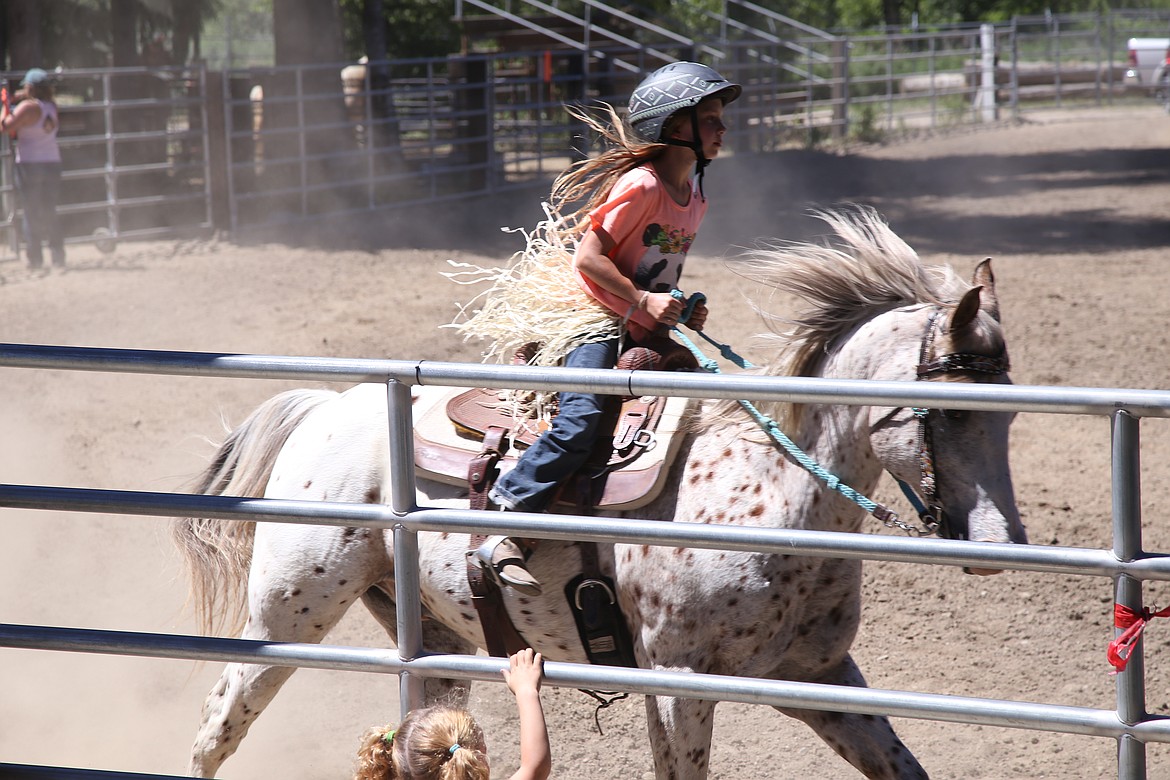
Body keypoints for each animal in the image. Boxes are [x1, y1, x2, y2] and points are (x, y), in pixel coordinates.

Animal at [170, 206, 1024, 780]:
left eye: (1011, 409)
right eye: (951, 411)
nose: (1001, 545)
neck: (774, 495)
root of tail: (327, 407)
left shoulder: (816, 675)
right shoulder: (677, 685)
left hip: (434, 640)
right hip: (289, 612)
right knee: (217, 720)